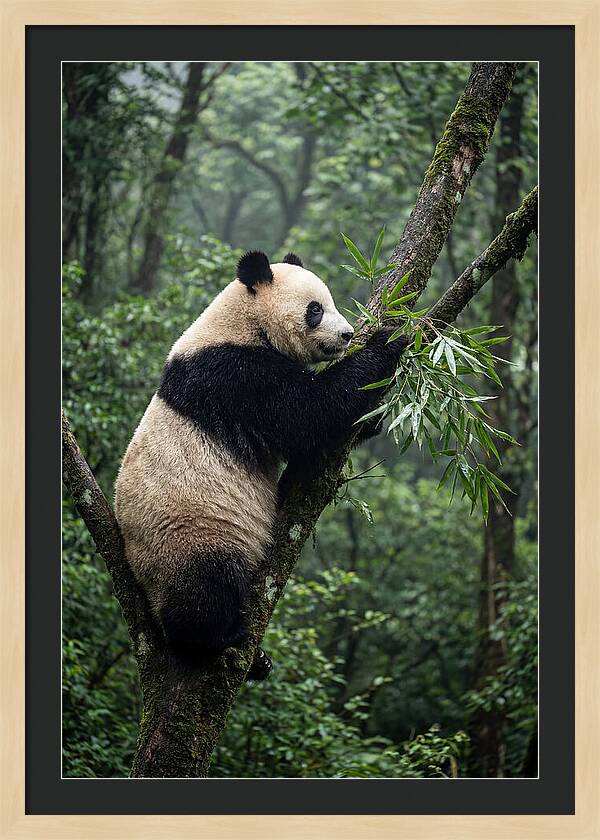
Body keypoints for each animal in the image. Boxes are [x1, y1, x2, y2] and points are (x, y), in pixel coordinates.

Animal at [115, 251, 407, 680]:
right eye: (315, 310)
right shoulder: (234, 375)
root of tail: (140, 577)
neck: (243, 321)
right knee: (205, 588)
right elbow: (308, 414)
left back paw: (258, 661)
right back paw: (219, 640)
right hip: (188, 533)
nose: (347, 335)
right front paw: (390, 339)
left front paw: (372, 417)